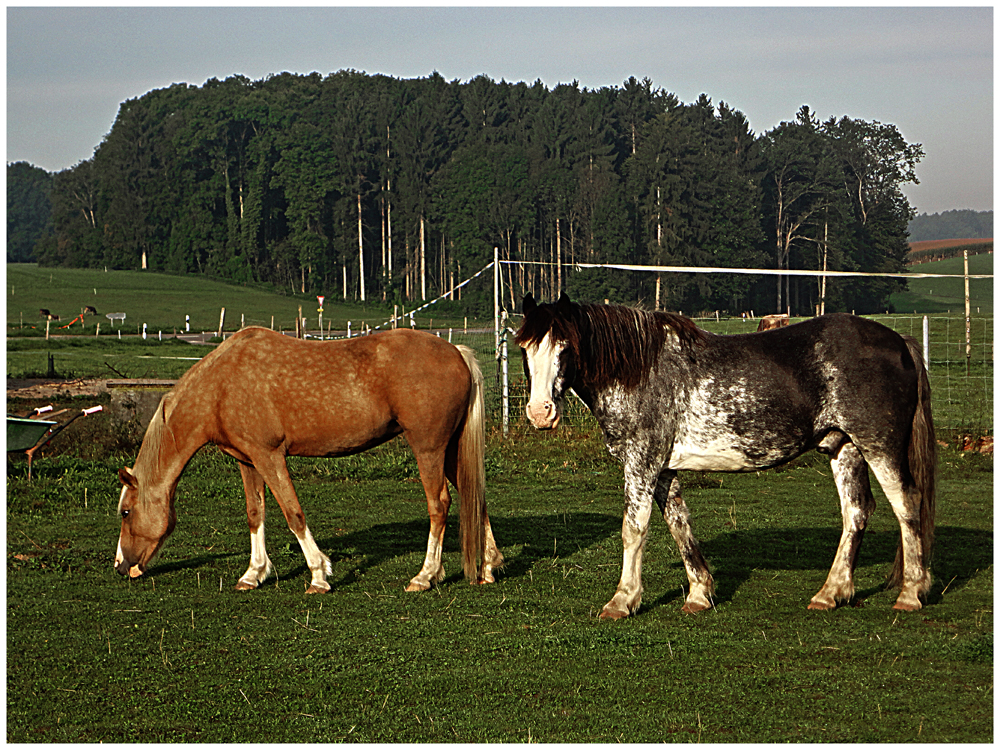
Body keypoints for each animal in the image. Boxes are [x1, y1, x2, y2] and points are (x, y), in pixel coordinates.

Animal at [116, 328, 504, 592]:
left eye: (125, 512)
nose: (121, 566)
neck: (221, 386)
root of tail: (457, 352)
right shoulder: (247, 461)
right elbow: (255, 514)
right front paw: (253, 573)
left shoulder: (269, 455)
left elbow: (293, 513)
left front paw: (319, 574)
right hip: (451, 450)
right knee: (475, 497)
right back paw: (488, 566)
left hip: (429, 449)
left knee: (439, 505)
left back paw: (425, 576)